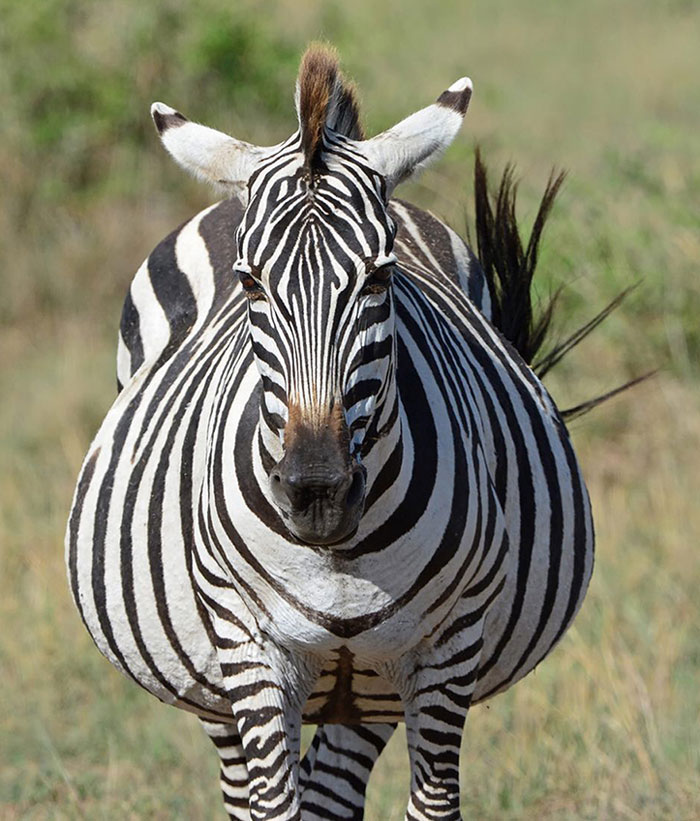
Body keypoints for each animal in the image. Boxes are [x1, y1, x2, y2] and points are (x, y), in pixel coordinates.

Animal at [67, 46, 594, 820]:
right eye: (250, 284)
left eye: (380, 277)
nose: (317, 492)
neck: (339, 553)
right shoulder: (247, 645)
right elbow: (272, 804)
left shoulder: (448, 646)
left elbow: (431, 804)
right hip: (210, 678)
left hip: (367, 688)